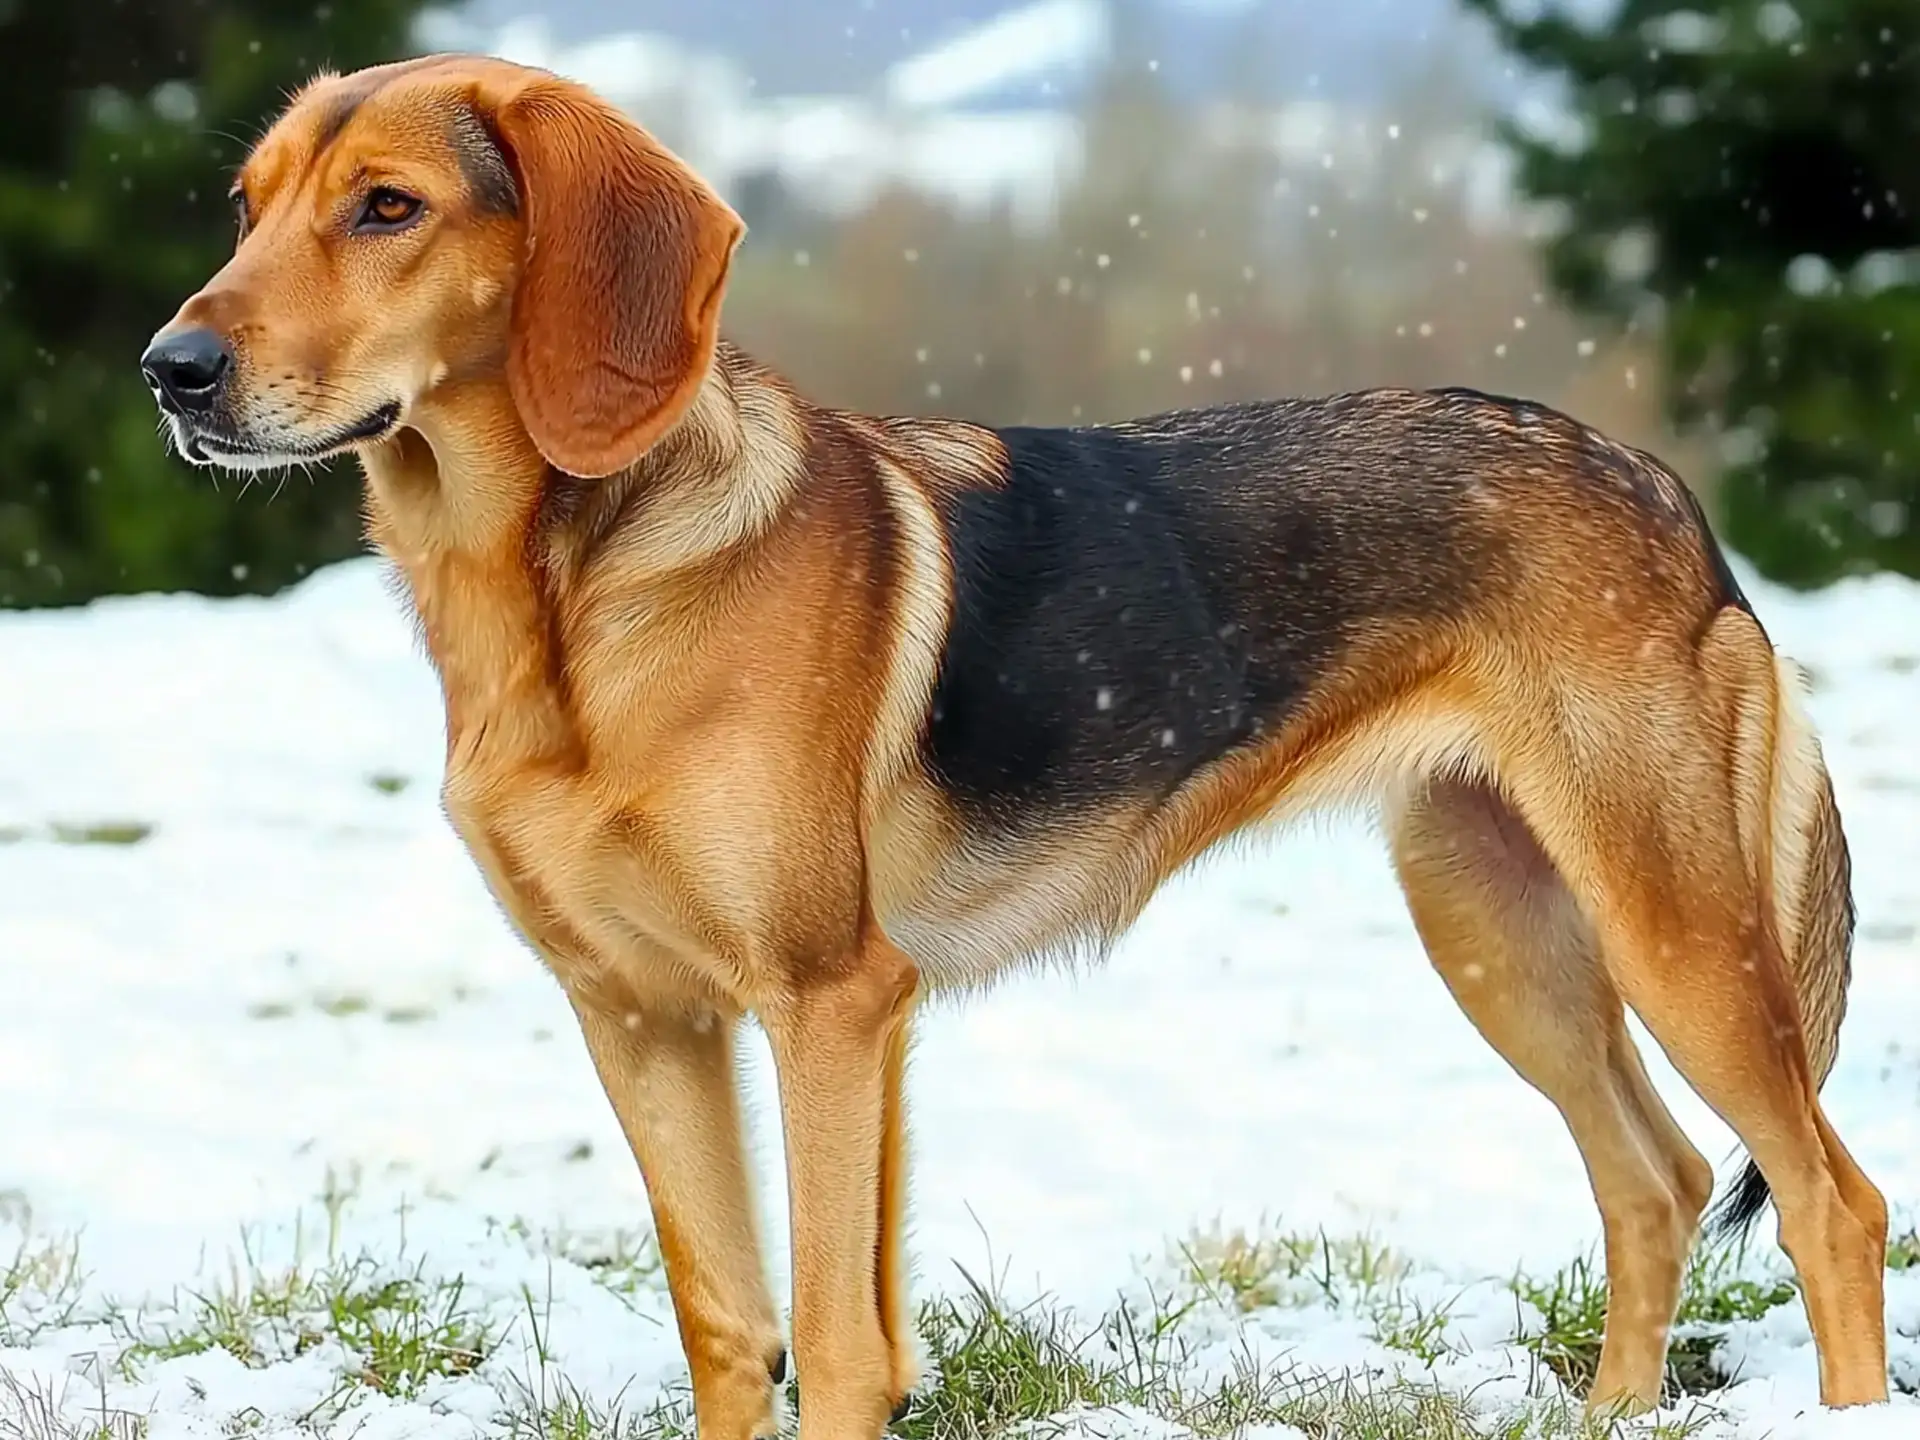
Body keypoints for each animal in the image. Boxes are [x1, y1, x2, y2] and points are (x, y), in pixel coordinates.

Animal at [145, 56, 1889, 1440]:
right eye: (244, 205)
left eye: (388, 209)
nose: (171, 371)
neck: (566, 601)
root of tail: (1664, 495)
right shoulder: (641, 1016)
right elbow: (732, 1327)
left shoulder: (829, 1005)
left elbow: (837, 1339)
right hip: (1501, 930)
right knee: (1657, 1185)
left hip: (1674, 929)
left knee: (1831, 1201)